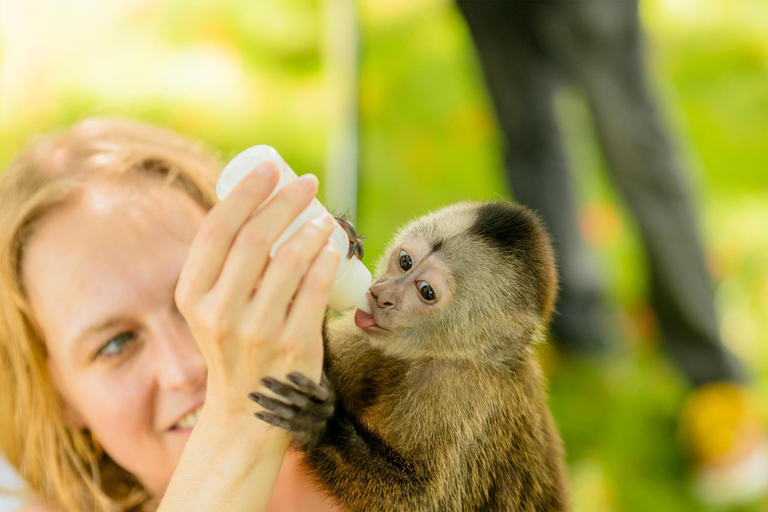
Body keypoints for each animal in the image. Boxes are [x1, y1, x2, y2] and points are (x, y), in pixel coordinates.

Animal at [252, 201, 568, 512]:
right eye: (405, 262)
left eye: (426, 291)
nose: (381, 296)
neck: (435, 355)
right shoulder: (365, 339)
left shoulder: (460, 391)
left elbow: (419, 501)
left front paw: (320, 423)